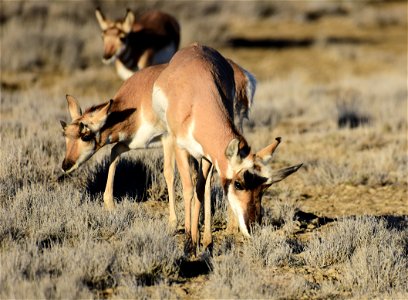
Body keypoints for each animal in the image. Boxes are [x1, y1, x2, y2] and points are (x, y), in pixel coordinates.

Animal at [151, 42, 302, 248]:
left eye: (264, 188)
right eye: (238, 184)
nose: (252, 226)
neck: (198, 95)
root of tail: (195, 46)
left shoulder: (208, 156)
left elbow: (201, 190)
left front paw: (200, 240)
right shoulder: (181, 148)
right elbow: (189, 189)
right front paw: (189, 242)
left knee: (204, 187)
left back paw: (206, 237)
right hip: (171, 140)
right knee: (171, 174)